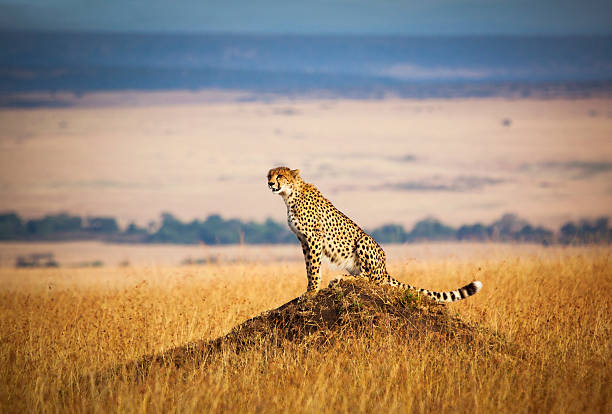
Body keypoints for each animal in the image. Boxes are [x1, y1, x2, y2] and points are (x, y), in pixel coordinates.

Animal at [268, 166, 482, 304]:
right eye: (269, 175)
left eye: (280, 175)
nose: (270, 184)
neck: (289, 195)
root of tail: (385, 268)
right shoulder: (303, 240)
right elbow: (309, 267)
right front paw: (309, 289)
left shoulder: (313, 238)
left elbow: (313, 268)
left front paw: (311, 292)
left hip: (364, 241)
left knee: (371, 279)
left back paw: (342, 278)